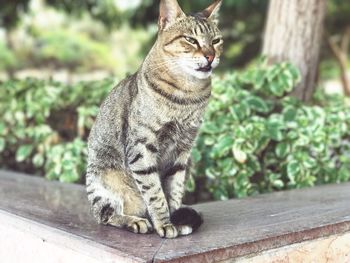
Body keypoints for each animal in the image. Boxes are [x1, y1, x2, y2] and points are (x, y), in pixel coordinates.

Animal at [86, 0, 223, 239]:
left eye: (216, 41)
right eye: (191, 40)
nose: (211, 56)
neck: (187, 96)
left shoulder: (183, 150)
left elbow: (173, 191)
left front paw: (175, 219)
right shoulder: (142, 147)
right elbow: (155, 193)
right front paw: (165, 224)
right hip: (101, 181)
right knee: (107, 216)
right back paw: (135, 221)